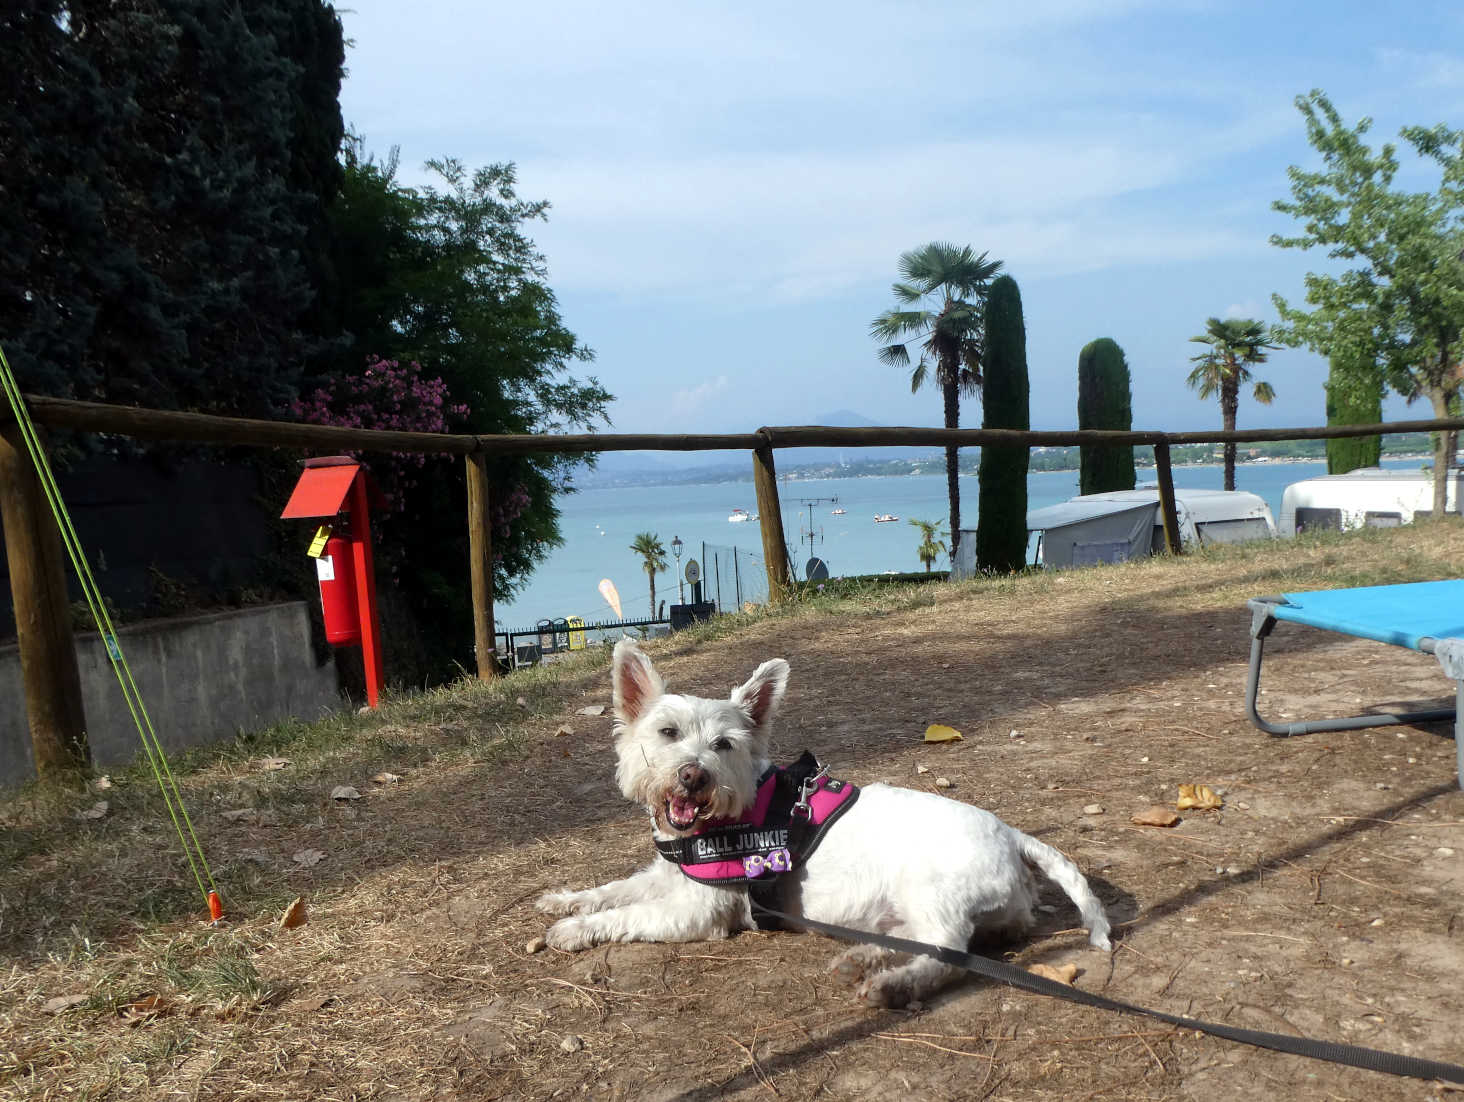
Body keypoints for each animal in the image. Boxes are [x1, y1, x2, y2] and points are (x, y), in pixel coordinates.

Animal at [538, 635, 1106, 1006]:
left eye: (723, 745)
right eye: (667, 732)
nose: (693, 776)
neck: (725, 821)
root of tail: (1013, 836)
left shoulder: (698, 910)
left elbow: (629, 915)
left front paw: (573, 929)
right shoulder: (666, 876)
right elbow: (615, 889)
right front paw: (565, 900)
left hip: (932, 891)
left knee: (946, 954)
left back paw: (892, 985)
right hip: (908, 911)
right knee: (926, 942)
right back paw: (864, 961)